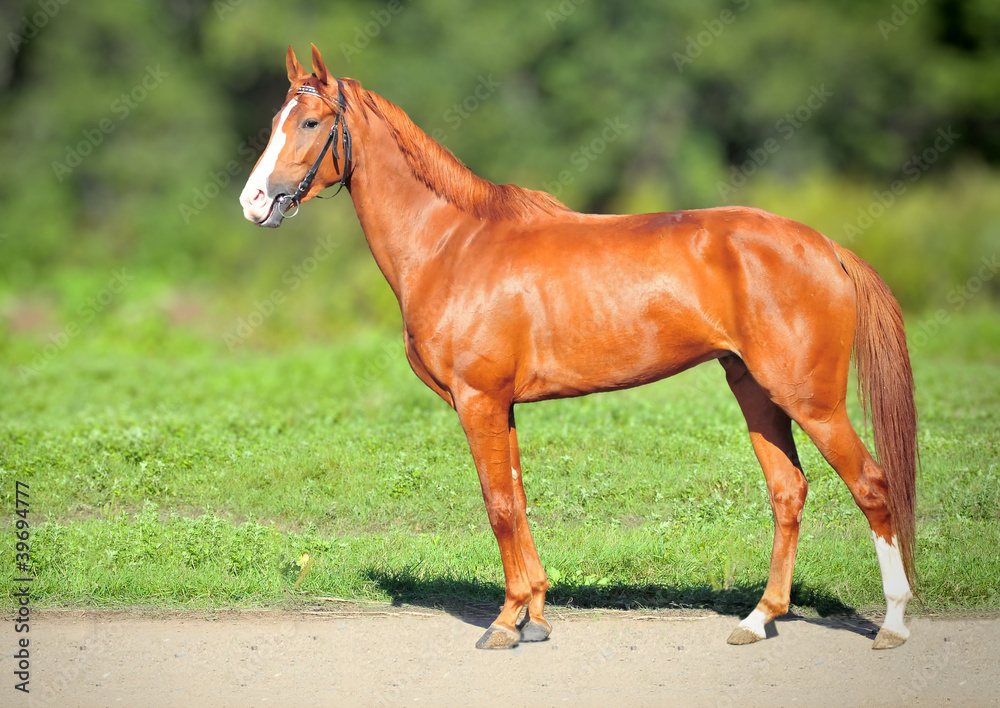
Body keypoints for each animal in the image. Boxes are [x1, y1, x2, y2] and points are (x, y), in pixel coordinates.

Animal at [239, 44, 917, 651]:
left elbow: (499, 506)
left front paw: (504, 623)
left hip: (812, 400)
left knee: (872, 485)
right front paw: (534, 615)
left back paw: (892, 623)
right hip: (755, 390)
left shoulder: (478, 400)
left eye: (310, 122)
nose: (253, 201)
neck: (453, 244)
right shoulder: (502, 406)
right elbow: (517, 498)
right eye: (273, 121)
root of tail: (826, 247)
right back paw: (758, 619)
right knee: (788, 492)